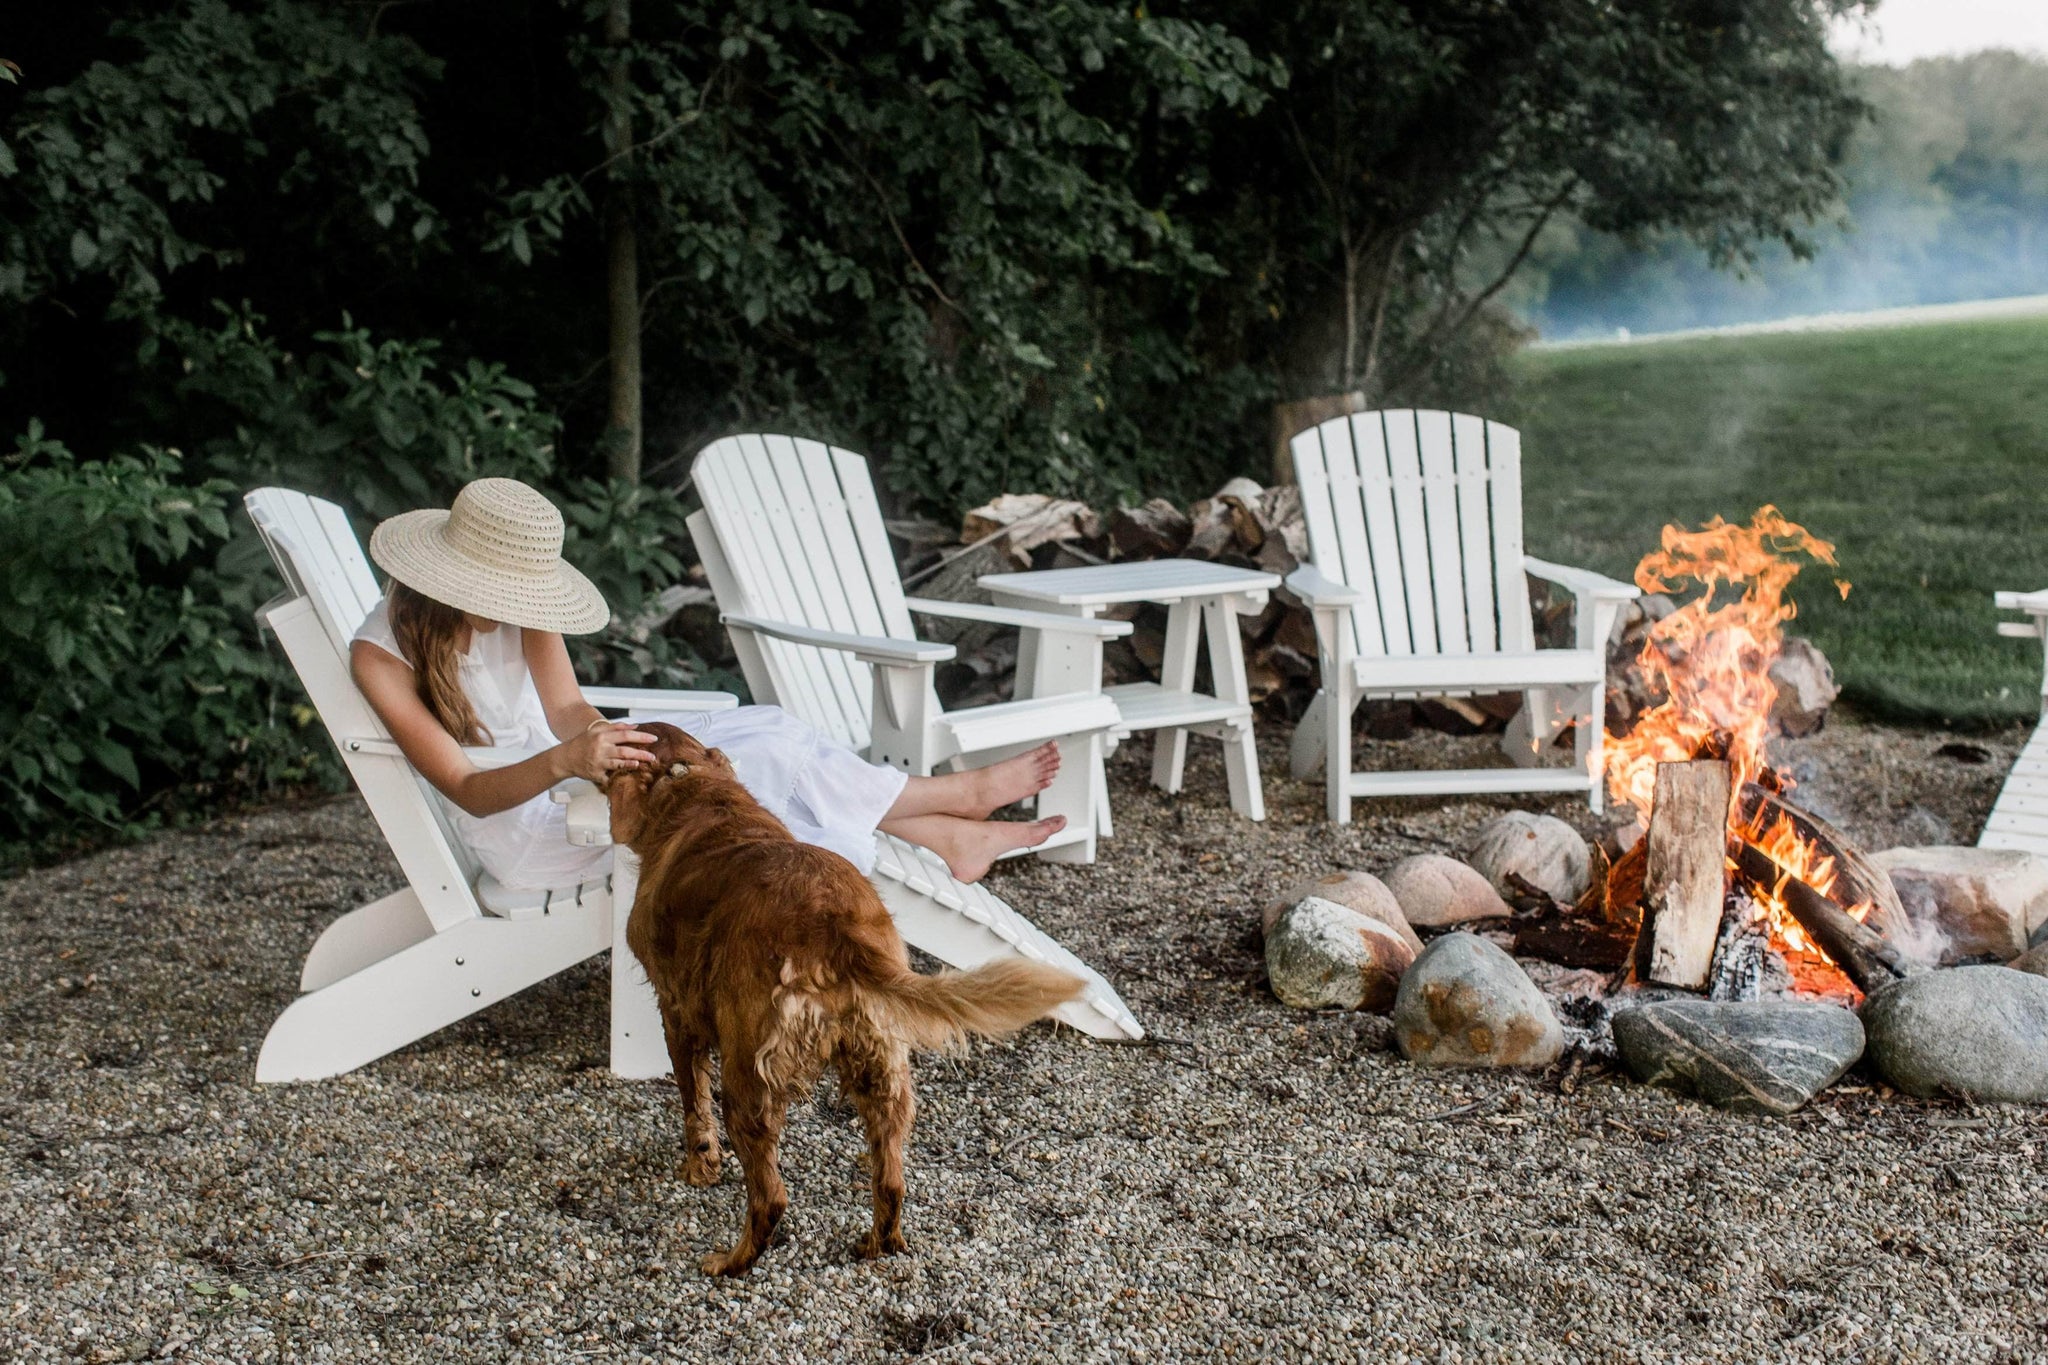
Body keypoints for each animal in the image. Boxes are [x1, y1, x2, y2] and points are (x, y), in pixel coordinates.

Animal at [606, 720, 1089, 1277]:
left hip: (747, 1076)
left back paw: (729, 1261)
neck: (695, 788)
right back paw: (877, 1244)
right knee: (892, 1179)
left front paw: (699, 1166)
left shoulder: (676, 1014)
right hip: (883, 1066)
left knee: (770, 1198)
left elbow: (693, 1106)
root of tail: (833, 925)